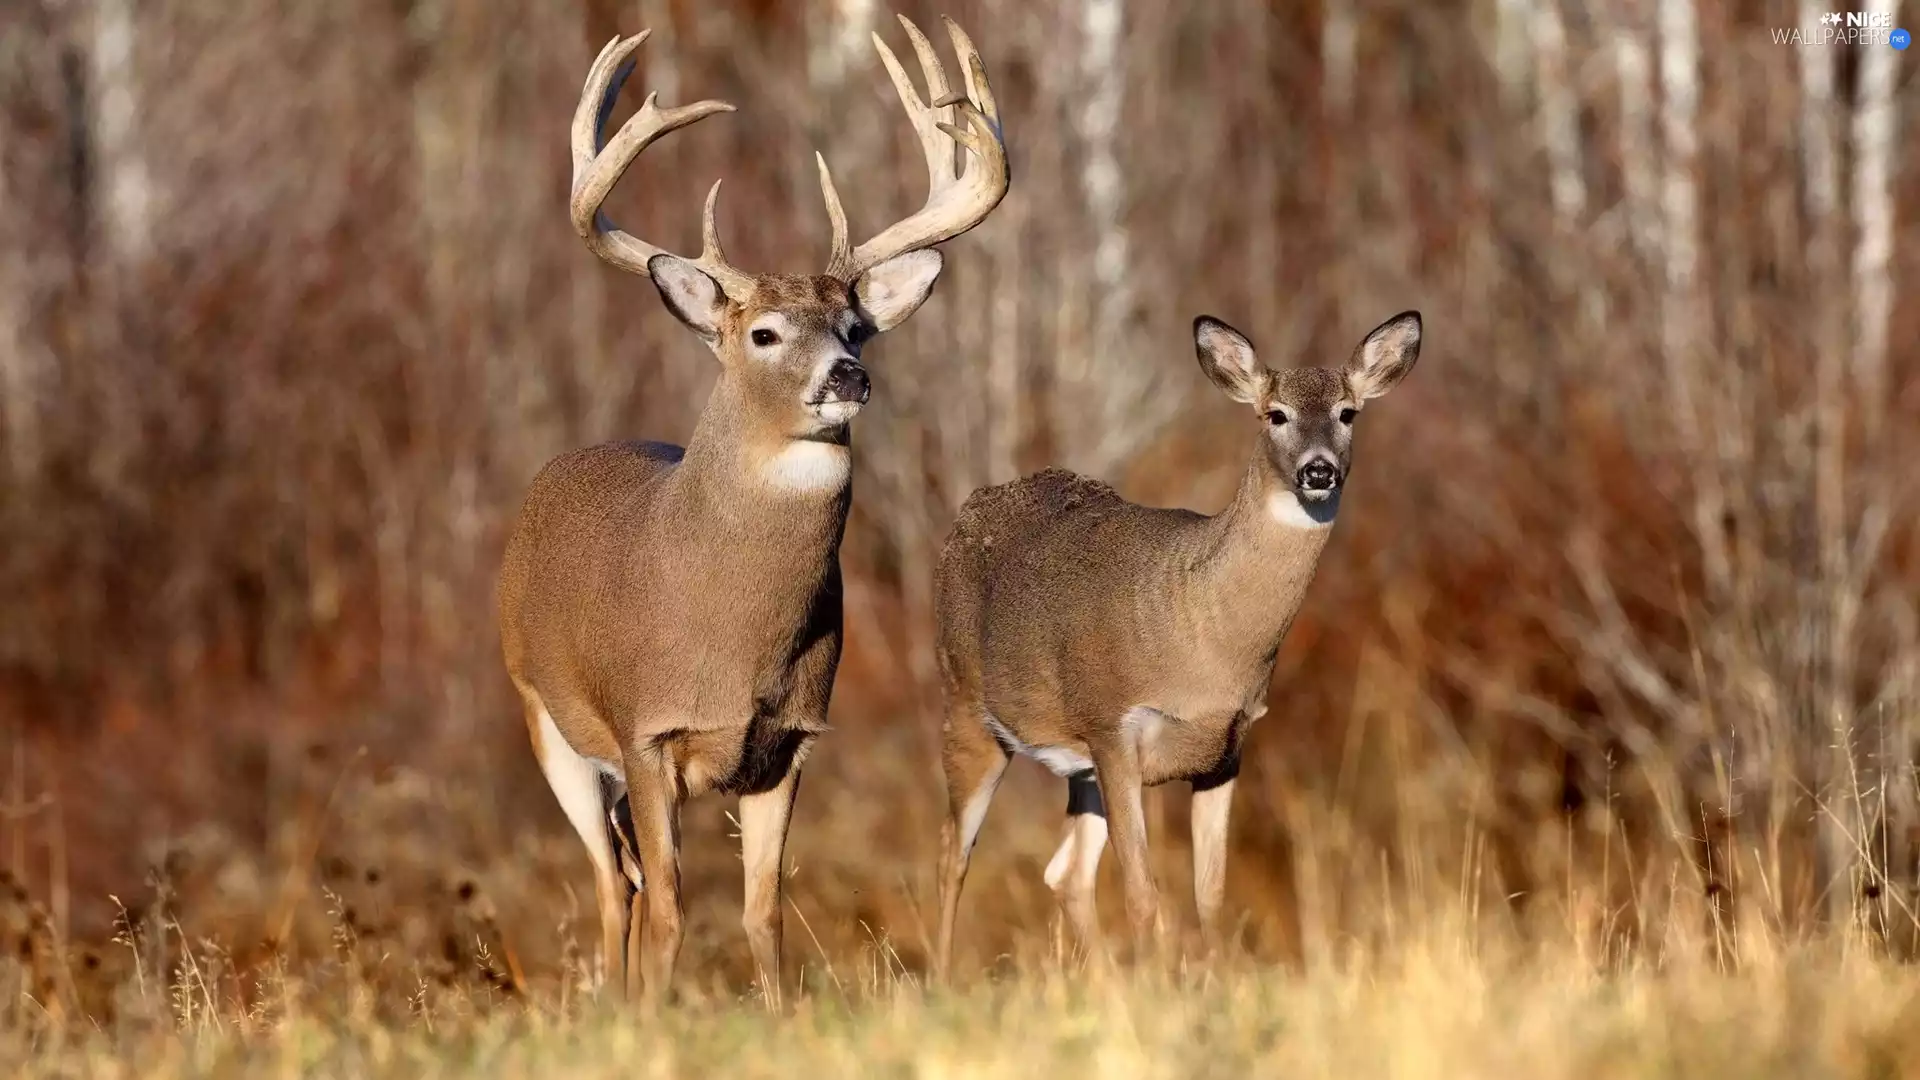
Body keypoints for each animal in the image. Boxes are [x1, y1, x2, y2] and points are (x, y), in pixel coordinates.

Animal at [496, 15, 1008, 1006]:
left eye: (855, 328)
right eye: (764, 334)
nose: (847, 377)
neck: (733, 641)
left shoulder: (790, 742)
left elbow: (762, 911)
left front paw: (775, 1016)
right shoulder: (647, 730)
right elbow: (669, 909)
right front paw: (654, 1018)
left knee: (621, 876)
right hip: (547, 721)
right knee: (613, 885)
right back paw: (614, 1004)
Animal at [930, 310, 1422, 978]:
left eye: (1348, 413)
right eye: (1275, 414)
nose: (1318, 470)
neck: (1204, 637)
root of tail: (969, 511)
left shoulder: (1226, 750)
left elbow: (1208, 892)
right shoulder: (1114, 727)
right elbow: (1143, 892)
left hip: (1078, 766)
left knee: (1065, 873)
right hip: (967, 705)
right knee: (953, 852)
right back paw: (940, 978)